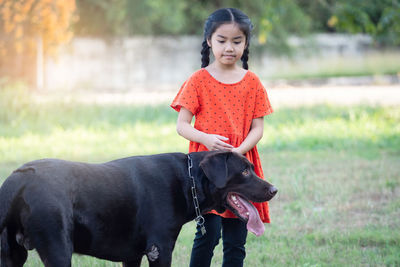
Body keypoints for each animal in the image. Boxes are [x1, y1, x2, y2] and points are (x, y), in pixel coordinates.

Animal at [0, 152, 276, 266]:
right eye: (244, 171)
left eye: (251, 168)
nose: (274, 189)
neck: (187, 179)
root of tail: (19, 179)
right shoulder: (159, 250)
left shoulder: (131, 256)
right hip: (58, 250)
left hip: (12, 255)